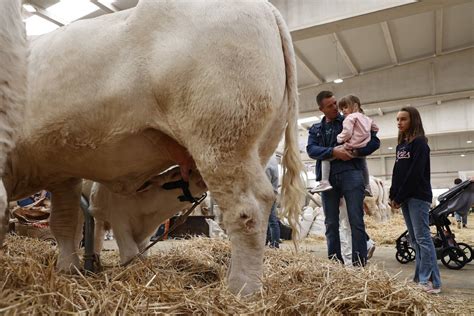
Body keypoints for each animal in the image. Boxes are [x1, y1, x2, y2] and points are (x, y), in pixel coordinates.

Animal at [0, 0, 304, 296]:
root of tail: (267, 8)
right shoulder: (63, 172)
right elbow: (64, 223)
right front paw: (69, 268)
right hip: (255, 147)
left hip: (222, 139)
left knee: (248, 211)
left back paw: (242, 290)